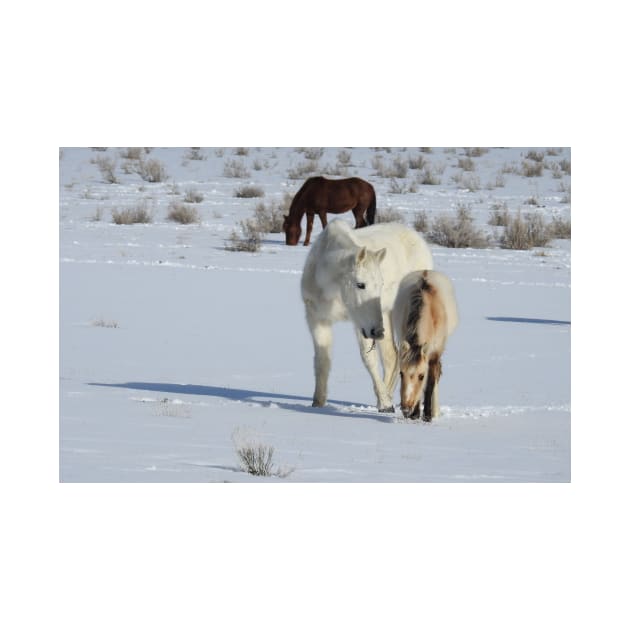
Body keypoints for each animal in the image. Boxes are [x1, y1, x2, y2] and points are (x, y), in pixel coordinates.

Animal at [302, 220, 434, 412]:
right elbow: (322, 360)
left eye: (381, 284)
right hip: (385, 314)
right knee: (392, 356)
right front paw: (317, 403)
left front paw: (386, 404)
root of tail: (418, 239)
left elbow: (368, 359)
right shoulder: (317, 319)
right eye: (360, 284)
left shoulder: (361, 323)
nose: (378, 332)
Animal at [396, 270, 460, 422]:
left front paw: (427, 415)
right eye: (401, 373)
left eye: (421, 376)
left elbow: (430, 383)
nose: (406, 409)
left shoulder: (434, 355)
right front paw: (415, 415)